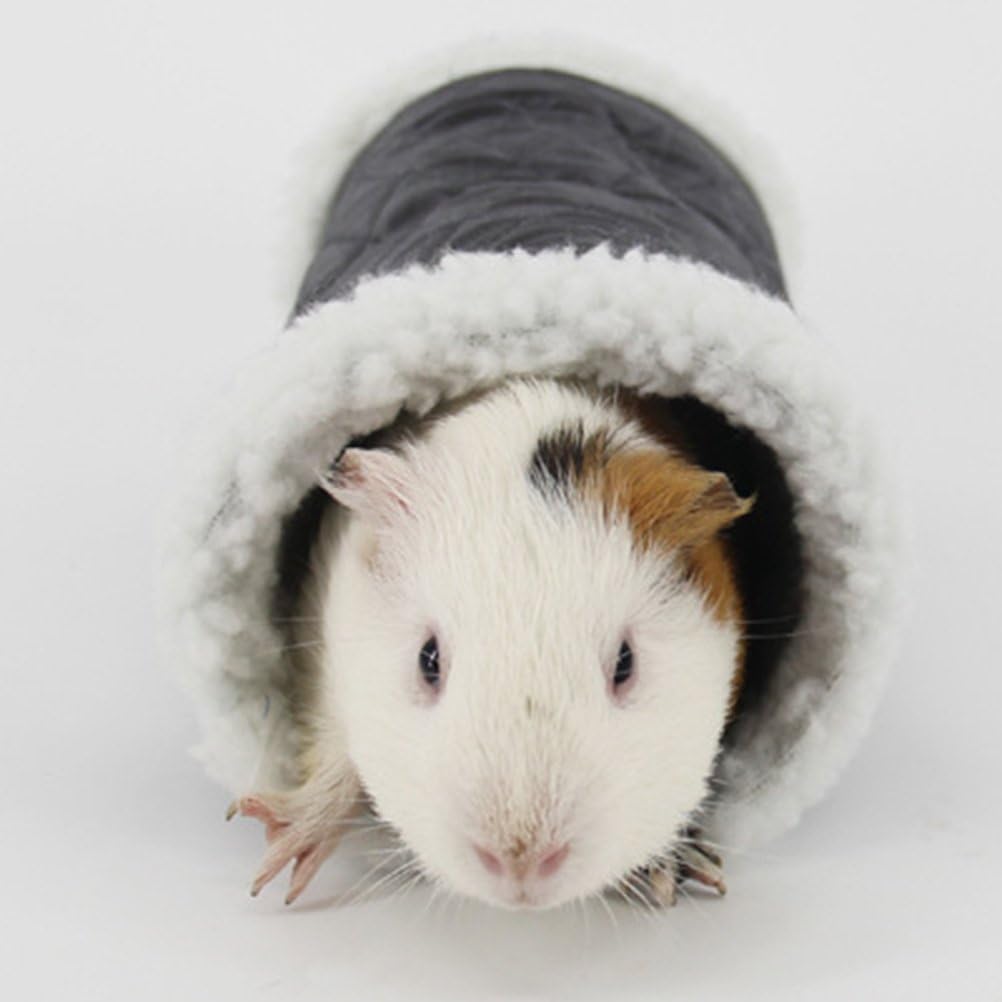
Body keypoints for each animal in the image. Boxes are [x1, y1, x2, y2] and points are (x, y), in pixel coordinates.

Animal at [229, 377, 753, 910]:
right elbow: (337, 751)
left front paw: (675, 870)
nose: (520, 861)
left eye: (625, 663)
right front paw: (274, 856)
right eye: (428, 660)